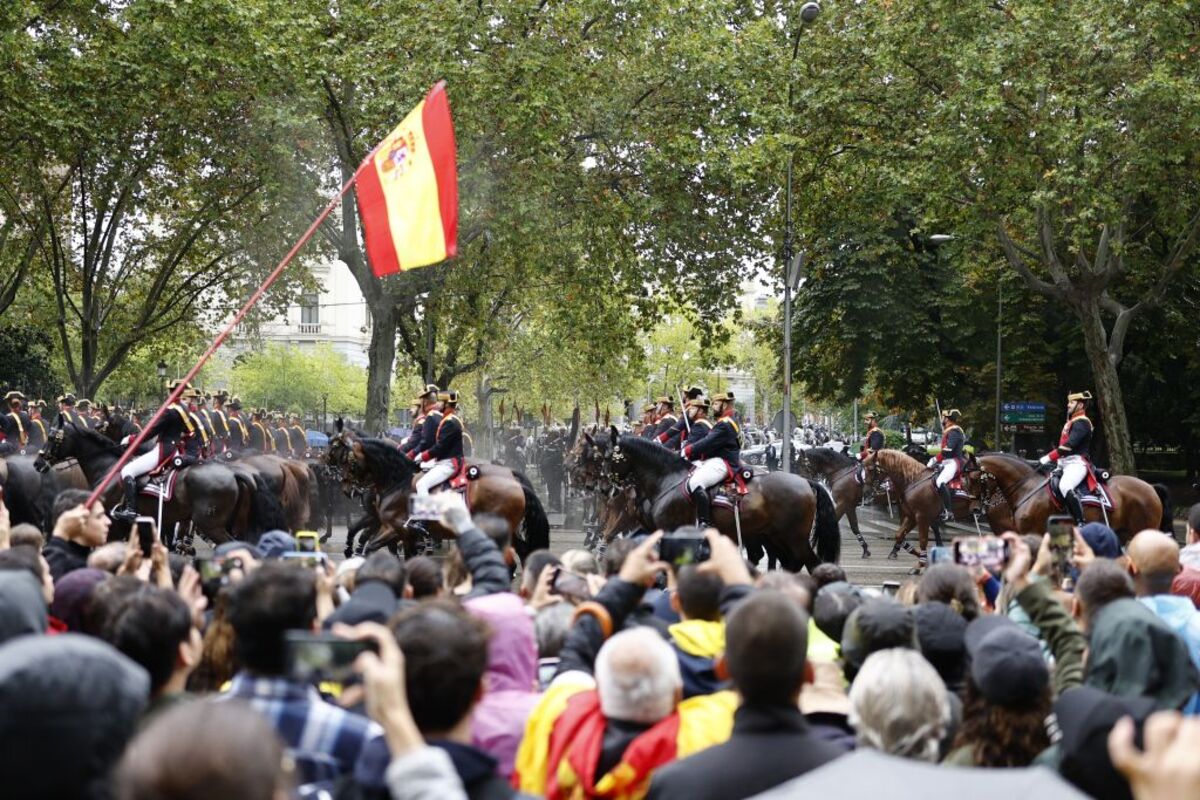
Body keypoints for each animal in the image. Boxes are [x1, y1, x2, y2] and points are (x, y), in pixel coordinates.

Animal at [34, 417, 258, 546]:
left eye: (53, 438)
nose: (38, 462)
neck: (109, 469)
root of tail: (232, 473)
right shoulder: (142, 530)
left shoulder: (113, 529)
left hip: (212, 526)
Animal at [588, 429, 835, 573]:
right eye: (599, 458)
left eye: (609, 458)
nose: (603, 489)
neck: (666, 479)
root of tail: (805, 481)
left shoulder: (669, 529)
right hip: (774, 535)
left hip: (793, 538)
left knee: (809, 563)